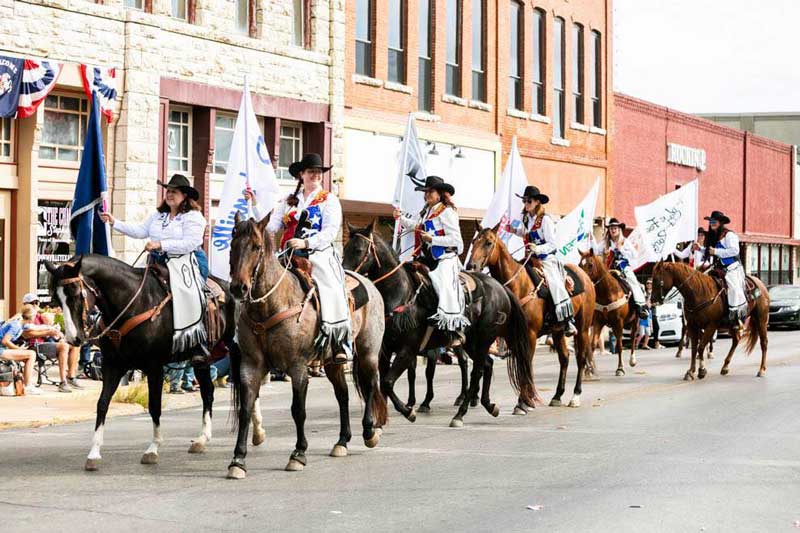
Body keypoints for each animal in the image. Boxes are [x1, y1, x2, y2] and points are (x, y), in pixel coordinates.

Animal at [45, 254, 262, 470]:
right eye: (56, 299)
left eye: (76, 294)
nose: (73, 339)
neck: (134, 303)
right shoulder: (112, 366)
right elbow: (102, 404)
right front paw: (94, 453)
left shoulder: (154, 367)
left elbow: (154, 405)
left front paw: (153, 449)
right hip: (203, 360)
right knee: (208, 392)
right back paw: (203, 438)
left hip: (240, 351)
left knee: (248, 389)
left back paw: (258, 431)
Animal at [225, 212, 388, 478]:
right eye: (232, 245)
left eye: (256, 246)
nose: (238, 287)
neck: (273, 303)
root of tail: (370, 285)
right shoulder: (250, 366)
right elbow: (246, 409)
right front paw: (238, 460)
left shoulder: (298, 366)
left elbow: (298, 410)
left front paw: (298, 454)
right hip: (332, 362)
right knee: (343, 395)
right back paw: (342, 441)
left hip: (368, 352)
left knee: (372, 383)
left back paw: (369, 432)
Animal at [340, 222, 536, 426]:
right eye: (344, 249)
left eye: (358, 249)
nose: (344, 278)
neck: (401, 294)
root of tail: (500, 287)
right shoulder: (385, 352)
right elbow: (384, 385)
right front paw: (382, 420)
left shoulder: (407, 350)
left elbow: (388, 383)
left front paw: (408, 411)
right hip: (472, 342)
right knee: (486, 365)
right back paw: (488, 405)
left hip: (482, 340)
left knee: (477, 372)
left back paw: (460, 414)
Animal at [468, 225, 592, 408]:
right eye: (474, 241)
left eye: (489, 242)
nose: (471, 265)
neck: (519, 285)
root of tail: (585, 277)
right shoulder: (513, 336)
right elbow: (522, 364)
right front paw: (527, 399)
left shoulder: (530, 334)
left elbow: (526, 363)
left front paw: (523, 402)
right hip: (557, 331)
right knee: (564, 358)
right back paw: (557, 396)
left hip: (583, 328)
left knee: (581, 358)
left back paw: (575, 396)